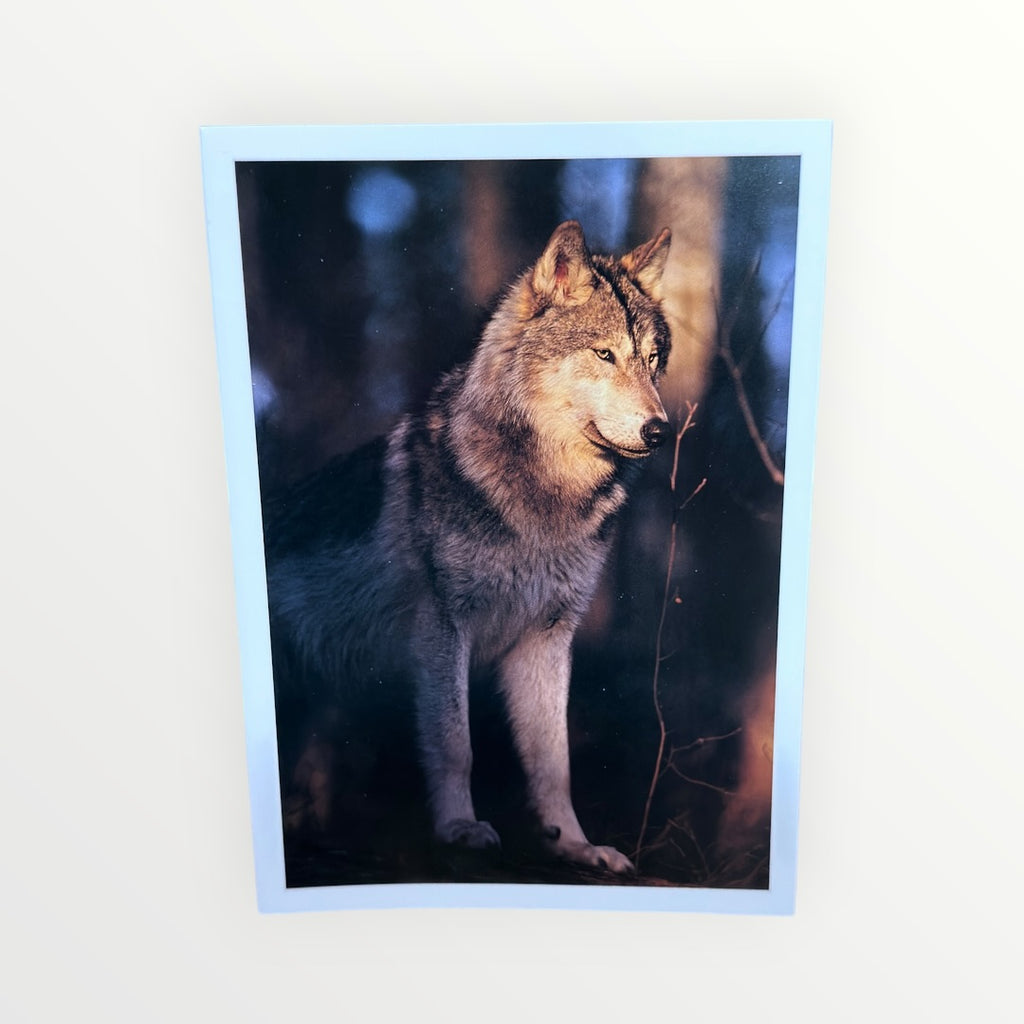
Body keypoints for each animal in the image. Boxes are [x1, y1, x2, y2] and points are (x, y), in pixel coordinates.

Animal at [265, 220, 673, 874]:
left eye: (654, 360)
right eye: (604, 354)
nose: (660, 430)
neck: (542, 505)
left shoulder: (549, 638)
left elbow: (554, 763)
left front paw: (575, 846)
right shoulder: (442, 627)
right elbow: (457, 744)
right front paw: (459, 828)